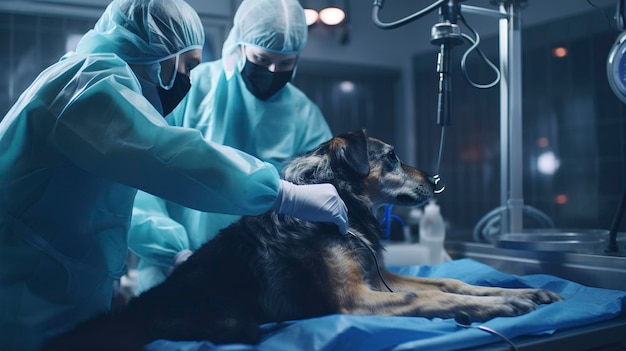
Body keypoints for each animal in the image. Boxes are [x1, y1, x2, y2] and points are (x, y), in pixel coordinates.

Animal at [42, 131, 560, 351]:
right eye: (392, 156)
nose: (435, 181)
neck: (341, 207)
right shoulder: (356, 299)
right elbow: (427, 298)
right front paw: (501, 306)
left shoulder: (378, 276)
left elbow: (449, 285)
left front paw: (524, 290)